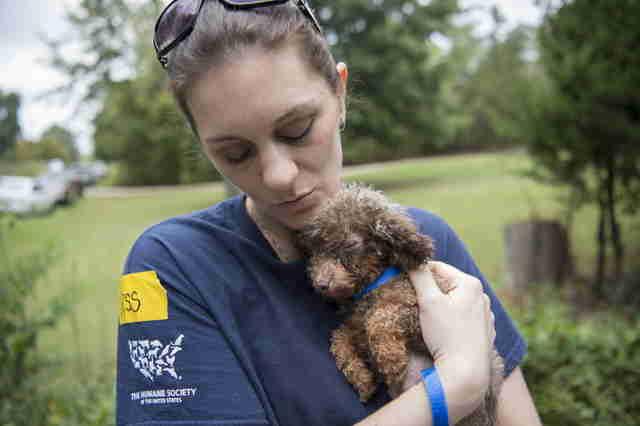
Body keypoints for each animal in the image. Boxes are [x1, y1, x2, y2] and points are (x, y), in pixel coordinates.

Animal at [296, 184, 504, 426]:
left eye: (351, 244)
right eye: (315, 250)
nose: (320, 284)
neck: (372, 286)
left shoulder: (414, 309)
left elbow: (381, 317)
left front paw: (390, 359)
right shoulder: (355, 327)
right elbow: (339, 337)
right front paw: (362, 379)